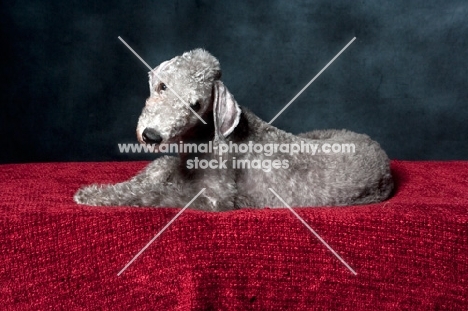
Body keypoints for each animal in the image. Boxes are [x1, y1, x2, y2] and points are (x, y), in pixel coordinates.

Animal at [74, 48, 394, 212]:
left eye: (196, 104)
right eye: (162, 86)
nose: (152, 135)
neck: (204, 138)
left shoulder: (215, 196)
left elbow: (156, 195)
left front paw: (95, 196)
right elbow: (155, 172)